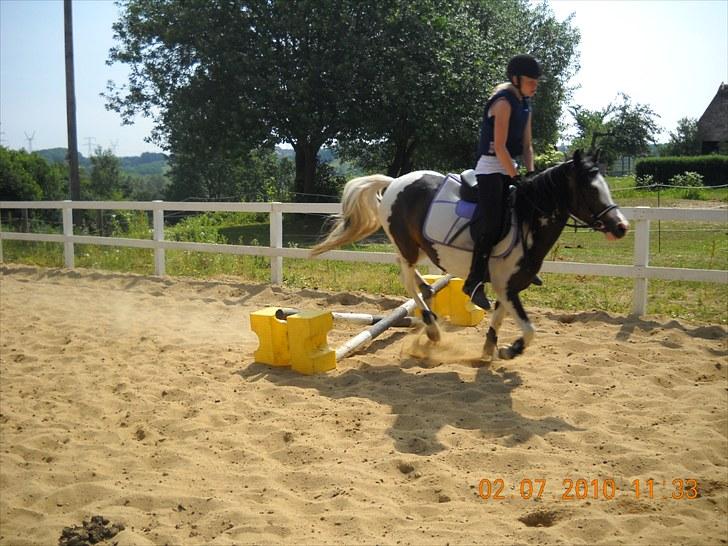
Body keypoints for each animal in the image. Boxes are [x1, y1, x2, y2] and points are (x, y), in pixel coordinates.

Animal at [310, 151, 628, 360]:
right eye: (590, 190)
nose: (621, 226)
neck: (526, 220)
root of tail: (395, 182)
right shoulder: (505, 286)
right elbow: (529, 329)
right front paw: (511, 350)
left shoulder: (509, 287)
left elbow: (499, 317)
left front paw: (490, 348)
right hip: (407, 245)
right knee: (407, 278)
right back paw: (431, 326)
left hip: (417, 247)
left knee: (410, 273)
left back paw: (429, 292)